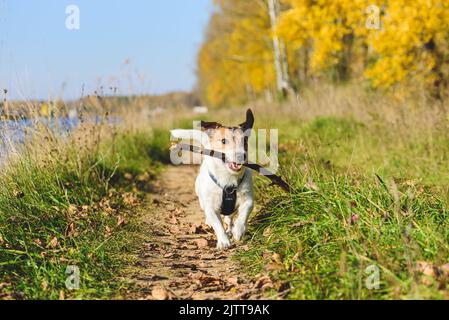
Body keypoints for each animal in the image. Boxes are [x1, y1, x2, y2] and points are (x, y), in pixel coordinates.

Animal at [171, 110, 254, 250]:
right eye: (224, 141)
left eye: (245, 140)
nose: (241, 156)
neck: (228, 177)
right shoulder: (211, 207)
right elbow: (217, 224)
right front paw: (223, 241)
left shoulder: (248, 199)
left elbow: (244, 213)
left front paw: (238, 230)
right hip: (202, 200)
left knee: (228, 217)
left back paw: (231, 227)